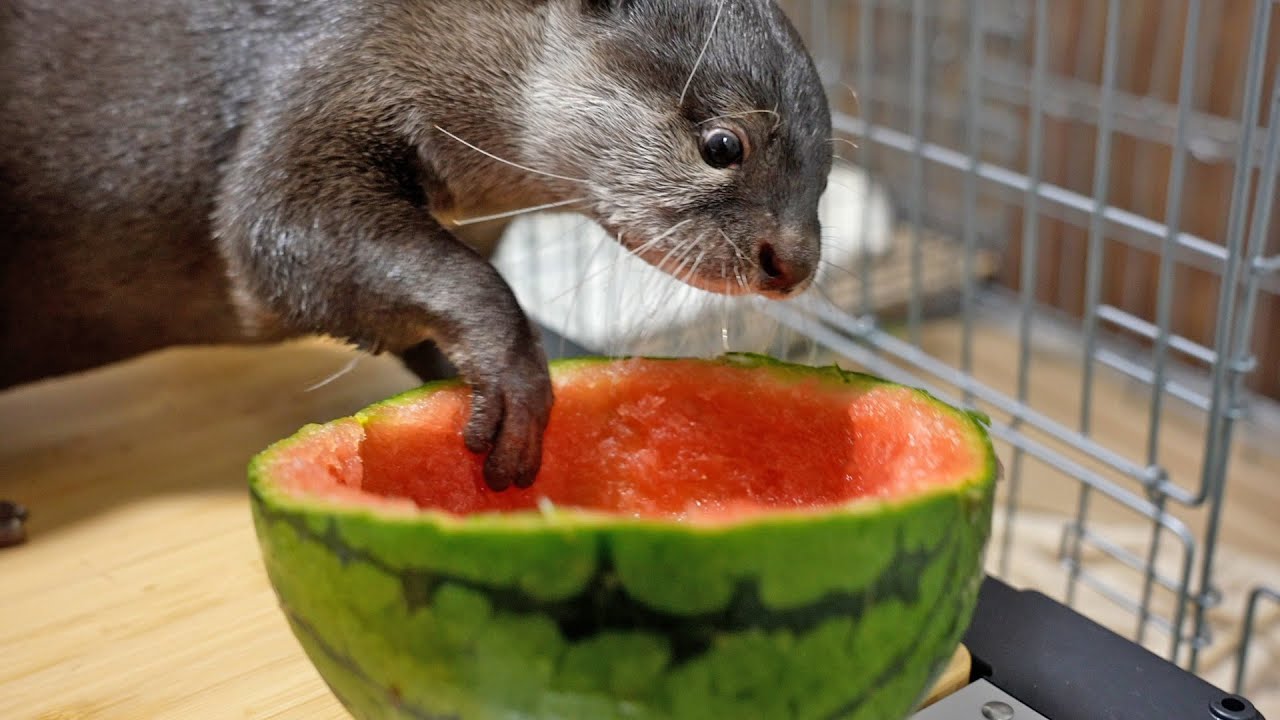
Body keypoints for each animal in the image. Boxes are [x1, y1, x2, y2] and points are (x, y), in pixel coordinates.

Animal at [0, 0, 833, 492]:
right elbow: (273, 230)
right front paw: (516, 377)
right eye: (723, 144)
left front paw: (561, 356)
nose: (794, 263)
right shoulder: (323, 85)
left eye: (825, 168)